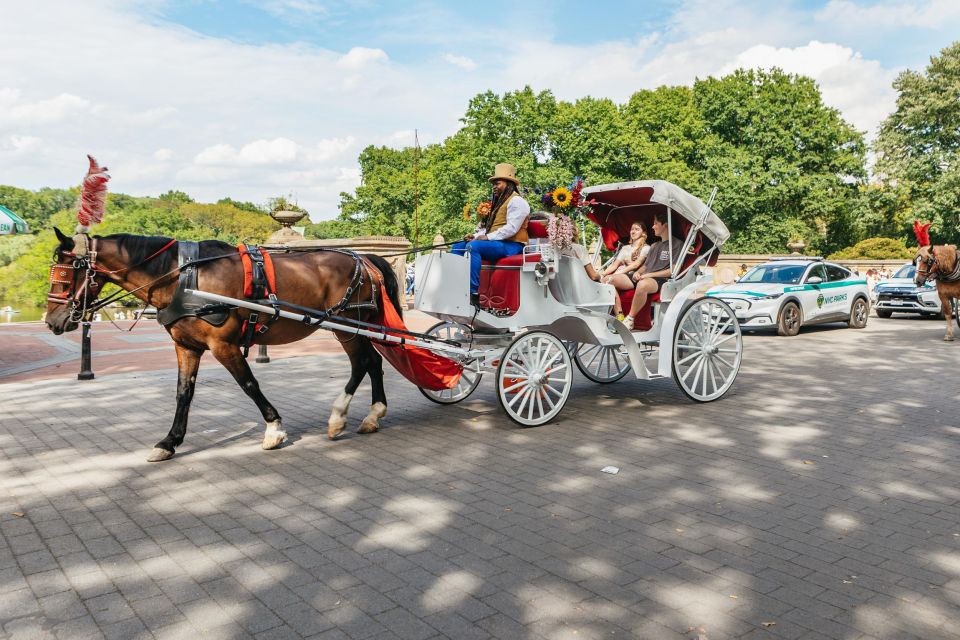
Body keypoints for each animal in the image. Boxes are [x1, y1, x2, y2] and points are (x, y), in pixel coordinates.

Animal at [45, 230, 404, 460]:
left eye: (65, 274)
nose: (52, 321)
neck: (183, 278)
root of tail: (365, 257)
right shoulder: (186, 346)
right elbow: (183, 392)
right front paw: (170, 441)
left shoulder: (223, 344)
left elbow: (248, 383)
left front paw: (273, 429)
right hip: (358, 326)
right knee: (373, 363)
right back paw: (372, 415)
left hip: (347, 325)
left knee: (362, 364)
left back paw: (339, 417)